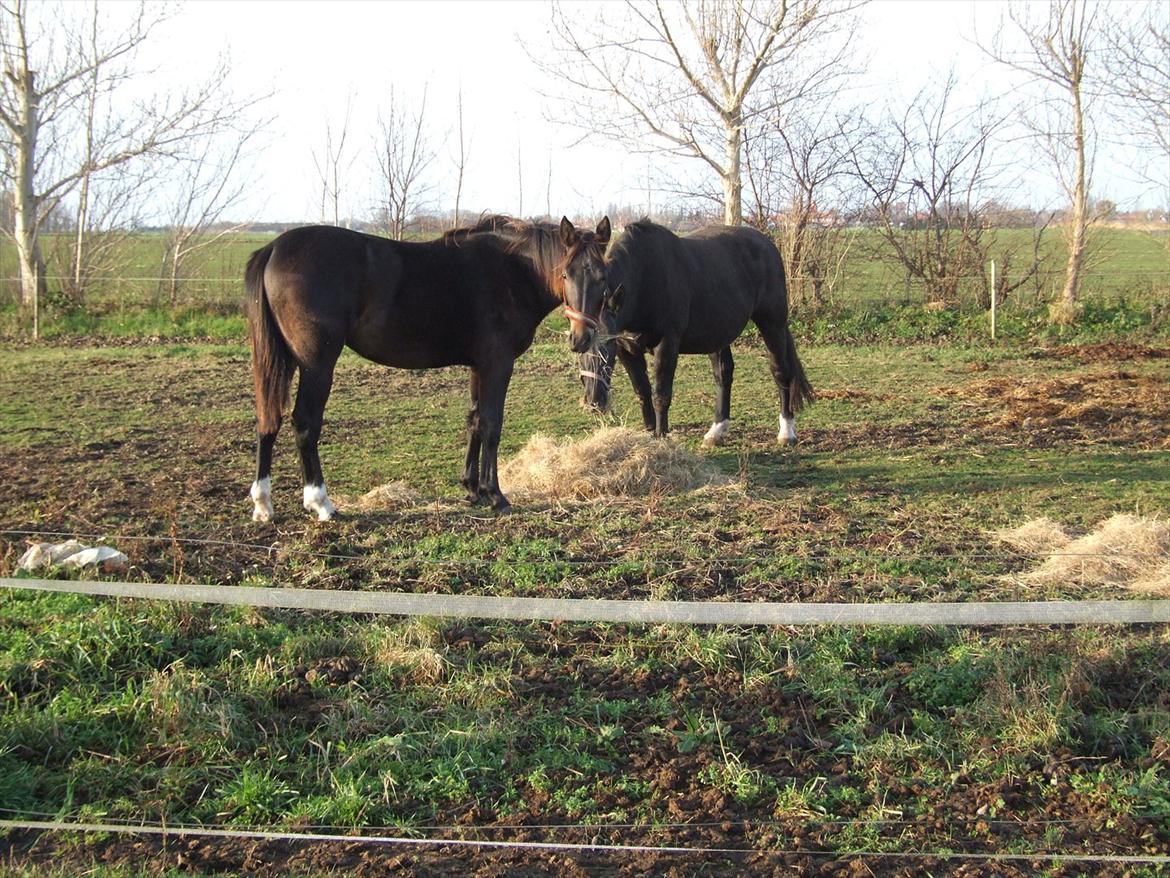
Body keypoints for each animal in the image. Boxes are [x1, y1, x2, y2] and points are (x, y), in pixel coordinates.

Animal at [246, 218, 613, 519]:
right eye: (565, 274)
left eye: (602, 277)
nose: (581, 338)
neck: (510, 271)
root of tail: (274, 248)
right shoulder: (498, 364)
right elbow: (491, 424)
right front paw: (495, 494)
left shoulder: (479, 366)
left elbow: (474, 421)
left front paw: (472, 489)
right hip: (317, 364)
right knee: (305, 423)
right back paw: (320, 502)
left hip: (282, 358)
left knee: (268, 418)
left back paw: (263, 503)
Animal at [573, 221, 814, 447]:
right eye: (579, 348)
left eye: (606, 346)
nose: (594, 400)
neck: (645, 280)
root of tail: (767, 244)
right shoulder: (627, 350)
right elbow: (642, 391)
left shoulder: (667, 345)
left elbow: (661, 395)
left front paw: (661, 437)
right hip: (718, 333)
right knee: (724, 375)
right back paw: (716, 432)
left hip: (772, 323)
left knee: (780, 371)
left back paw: (786, 431)